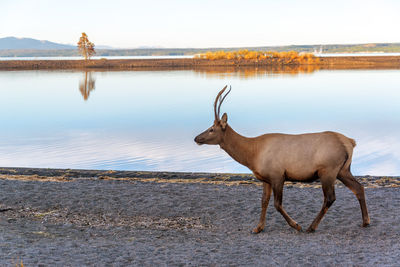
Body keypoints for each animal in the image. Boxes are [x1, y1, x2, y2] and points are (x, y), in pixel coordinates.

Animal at [195, 86, 370, 234]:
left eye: (212, 129)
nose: (197, 138)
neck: (252, 154)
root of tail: (350, 142)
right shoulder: (266, 178)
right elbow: (264, 201)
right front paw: (258, 228)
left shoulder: (278, 175)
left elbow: (277, 204)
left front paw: (296, 225)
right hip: (343, 170)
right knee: (359, 188)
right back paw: (366, 221)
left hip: (328, 170)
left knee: (330, 198)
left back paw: (311, 227)